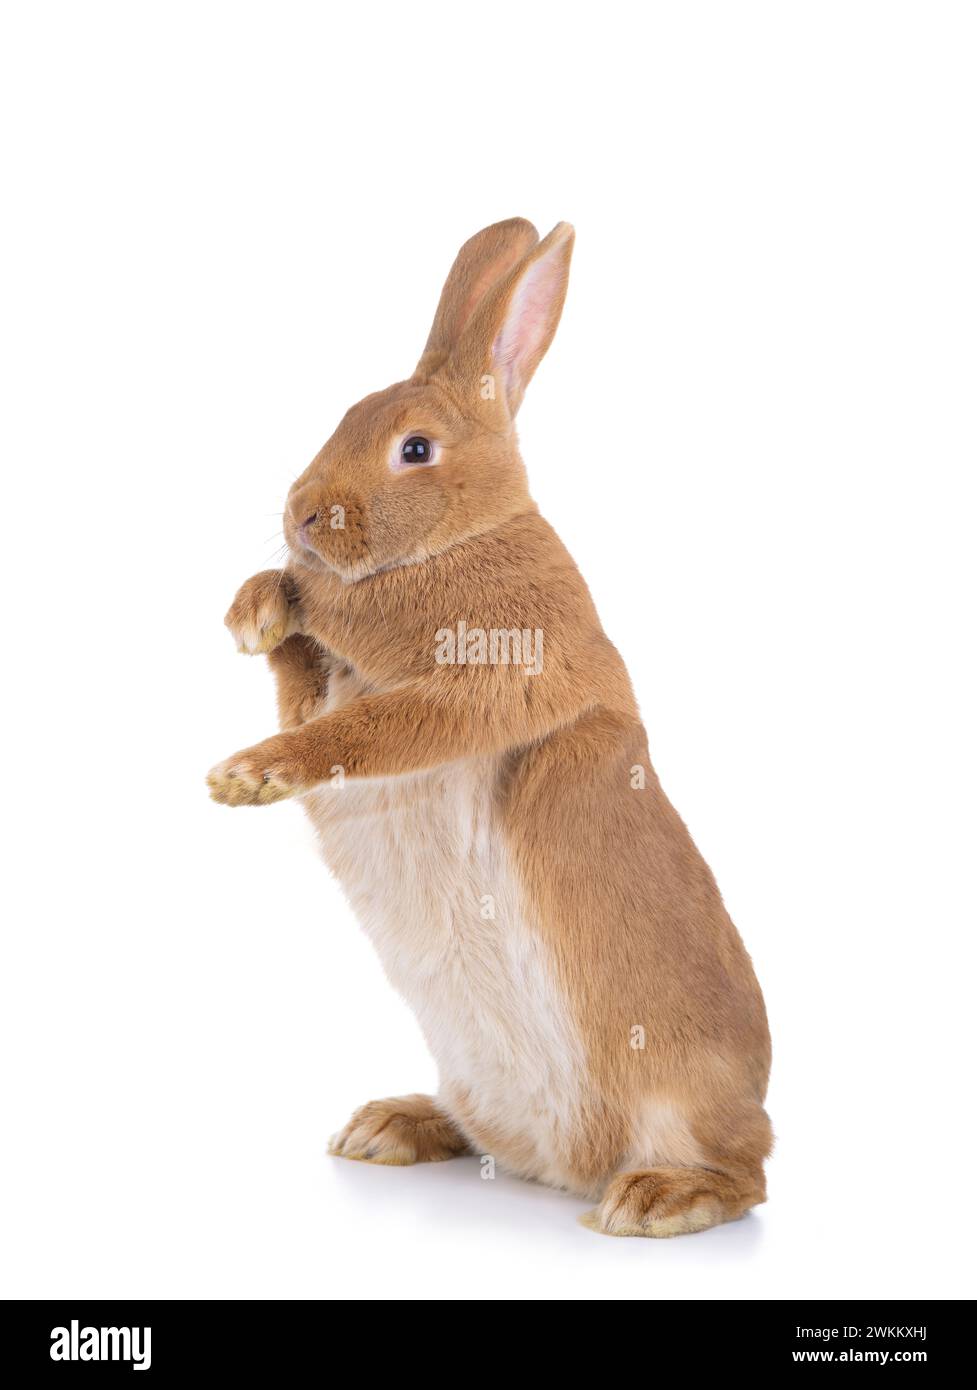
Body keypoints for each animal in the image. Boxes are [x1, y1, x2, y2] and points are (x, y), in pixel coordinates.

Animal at [207, 219, 772, 1237]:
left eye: (415, 449)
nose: (302, 517)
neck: (459, 537)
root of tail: (567, 1167)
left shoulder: (482, 688)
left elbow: (365, 730)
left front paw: (245, 775)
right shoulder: (332, 678)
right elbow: (299, 671)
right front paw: (257, 608)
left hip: (684, 1097)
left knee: (745, 1173)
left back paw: (654, 1199)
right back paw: (390, 1127)